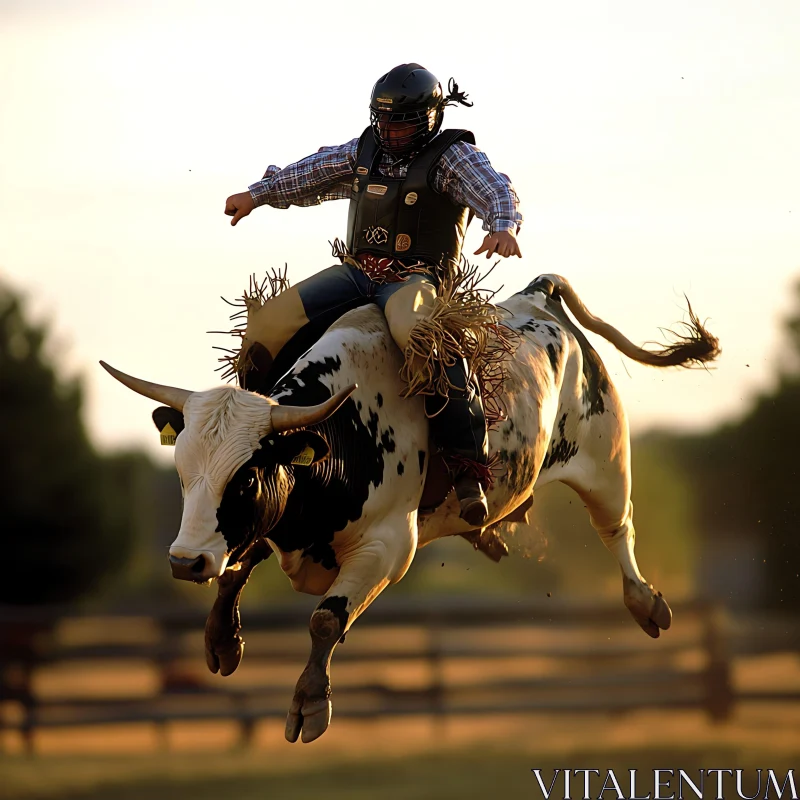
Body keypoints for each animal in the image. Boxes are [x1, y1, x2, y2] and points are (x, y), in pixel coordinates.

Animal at [101, 274, 720, 744]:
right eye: (183, 473)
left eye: (246, 477)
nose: (184, 562)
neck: (346, 434)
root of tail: (538, 295)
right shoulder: (277, 525)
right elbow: (239, 565)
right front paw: (222, 639)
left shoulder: (390, 547)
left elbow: (326, 618)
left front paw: (310, 704)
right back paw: (486, 531)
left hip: (606, 457)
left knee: (618, 527)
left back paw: (646, 603)